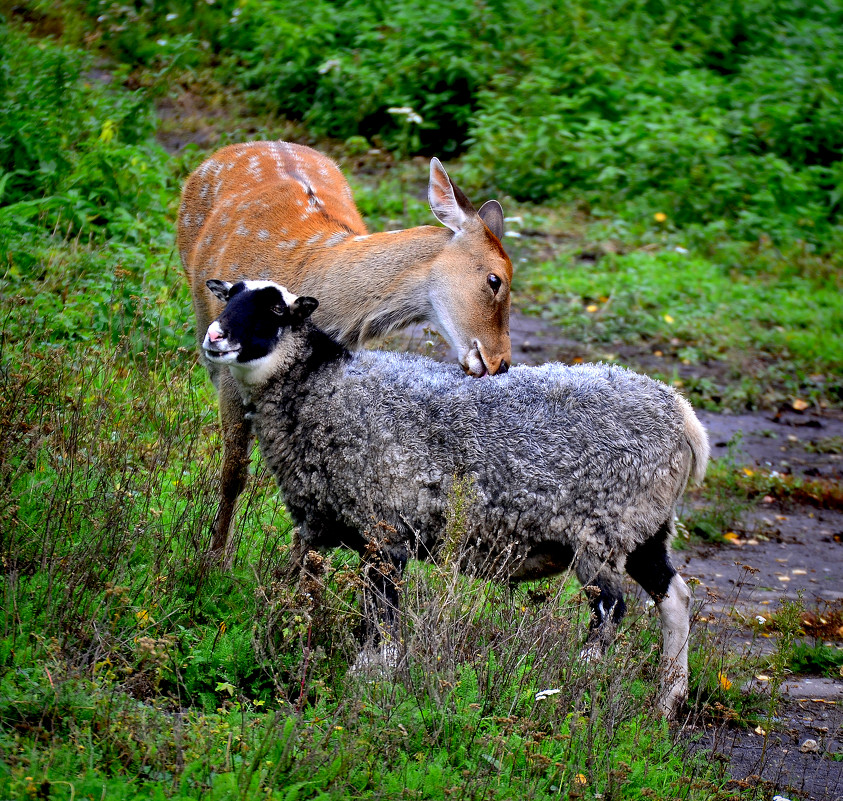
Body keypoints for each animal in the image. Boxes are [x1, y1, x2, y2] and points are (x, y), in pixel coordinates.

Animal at [204, 278, 712, 716]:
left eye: (274, 310)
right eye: (229, 296)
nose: (214, 336)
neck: (322, 387)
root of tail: (683, 417)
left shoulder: (387, 528)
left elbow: (382, 613)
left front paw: (368, 679)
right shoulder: (323, 528)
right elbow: (297, 588)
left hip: (603, 529)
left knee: (611, 608)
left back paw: (577, 677)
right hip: (645, 525)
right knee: (674, 598)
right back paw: (668, 701)